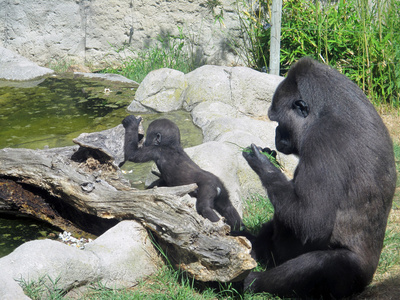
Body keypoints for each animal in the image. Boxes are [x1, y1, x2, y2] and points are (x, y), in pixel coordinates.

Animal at [241, 57, 396, 298]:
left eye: (277, 121)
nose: (275, 135)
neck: (326, 109)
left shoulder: (321, 139)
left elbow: (312, 221)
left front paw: (264, 164)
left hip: (356, 279)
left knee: (325, 265)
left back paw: (253, 282)